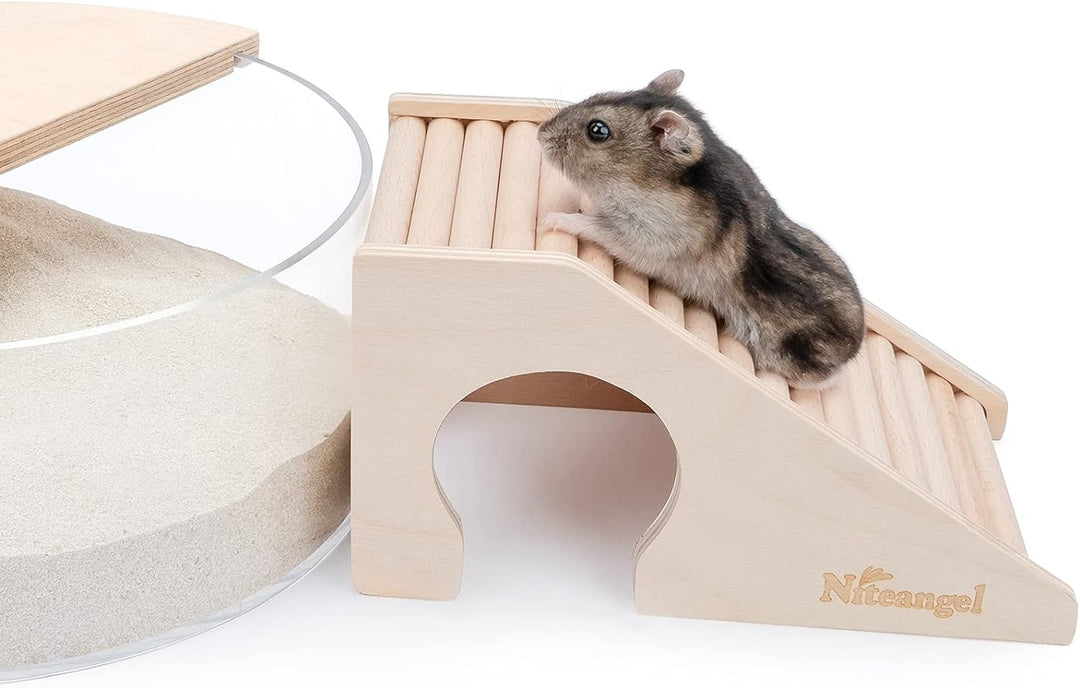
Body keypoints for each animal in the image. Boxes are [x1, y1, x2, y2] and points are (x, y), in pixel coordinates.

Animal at [538, 70, 864, 388]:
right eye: (601, 94)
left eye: (598, 130)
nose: (541, 134)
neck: (643, 177)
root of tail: (854, 349)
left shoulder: (645, 235)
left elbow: (596, 226)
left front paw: (552, 219)